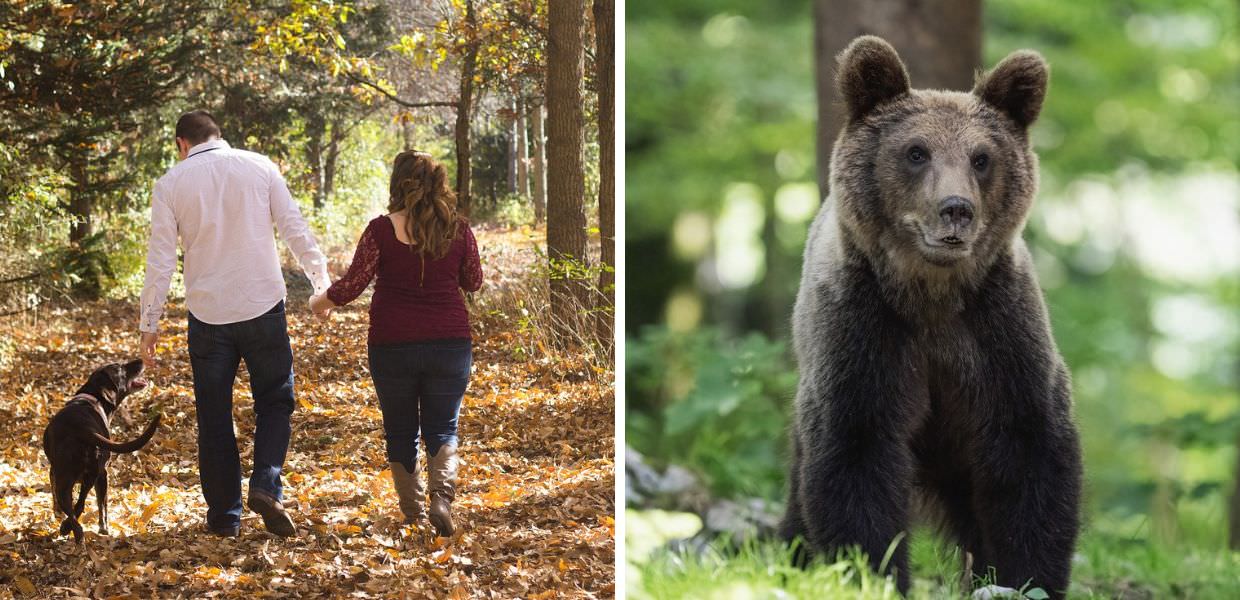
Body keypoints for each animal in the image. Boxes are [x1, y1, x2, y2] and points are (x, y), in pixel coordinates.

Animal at [779, 36, 1082, 598]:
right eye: (916, 152)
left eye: (981, 157)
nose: (956, 208)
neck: (932, 297)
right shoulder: (864, 333)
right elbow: (856, 454)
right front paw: (872, 571)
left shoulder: (999, 333)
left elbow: (1030, 451)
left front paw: (1027, 575)